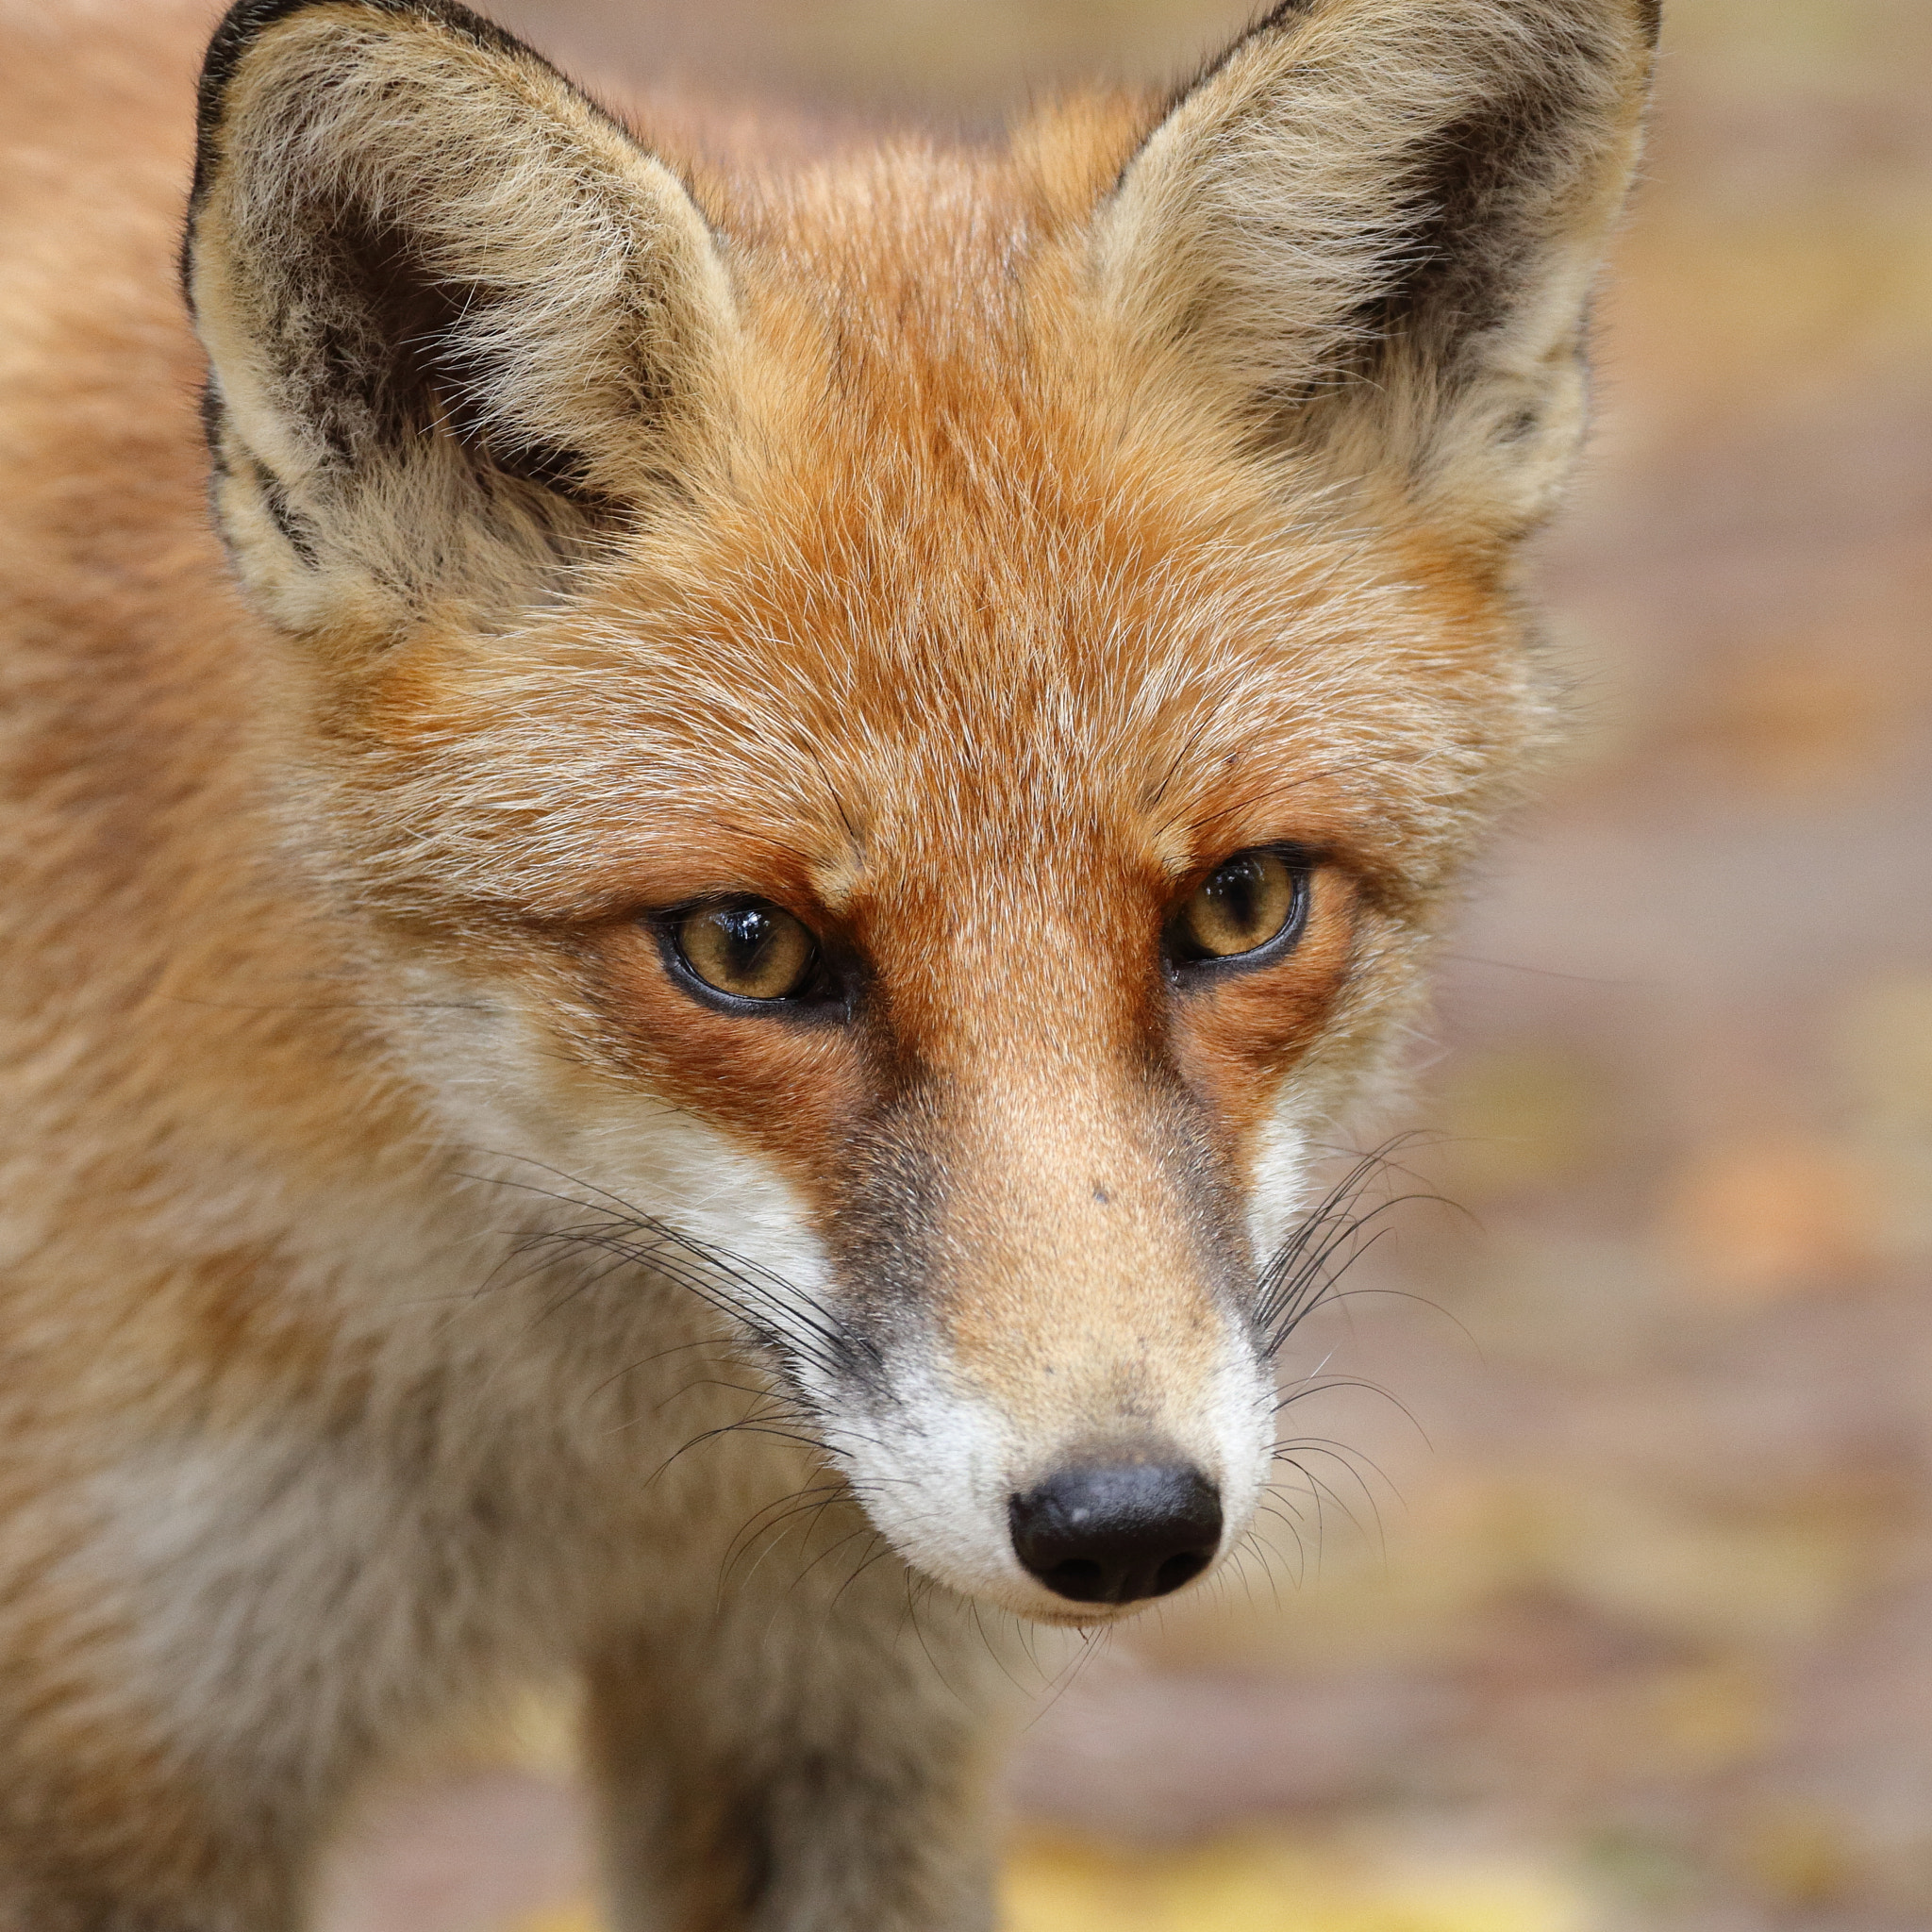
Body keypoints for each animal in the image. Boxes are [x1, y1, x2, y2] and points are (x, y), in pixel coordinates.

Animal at [0, 0, 1656, 1925]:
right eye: (747, 945)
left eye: (1243, 906)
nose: (1122, 1521)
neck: (596, 1472)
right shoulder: (127, 1746)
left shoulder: (837, 1704)